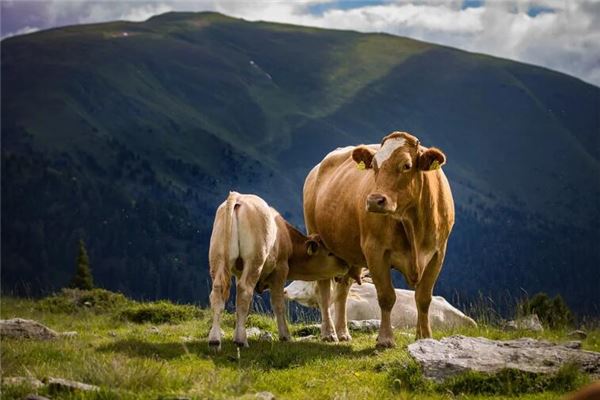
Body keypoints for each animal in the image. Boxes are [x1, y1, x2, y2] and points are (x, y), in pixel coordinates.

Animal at [209, 191, 346, 350]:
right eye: (330, 253)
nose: (346, 264)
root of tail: (238, 197)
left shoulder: (239, 272)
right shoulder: (281, 270)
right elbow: (278, 303)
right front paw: (285, 335)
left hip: (218, 257)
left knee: (218, 291)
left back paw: (215, 340)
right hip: (255, 260)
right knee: (244, 290)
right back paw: (241, 341)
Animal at [304, 131, 454, 346]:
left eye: (407, 165)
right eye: (374, 165)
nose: (375, 200)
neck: (413, 224)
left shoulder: (438, 253)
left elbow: (424, 298)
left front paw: (424, 336)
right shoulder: (375, 251)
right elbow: (386, 297)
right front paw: (385, 339)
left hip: (347, 253)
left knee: (342, 290)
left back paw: (343, 332)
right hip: (318, 240)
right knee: (324, 291)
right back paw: (329, 333)